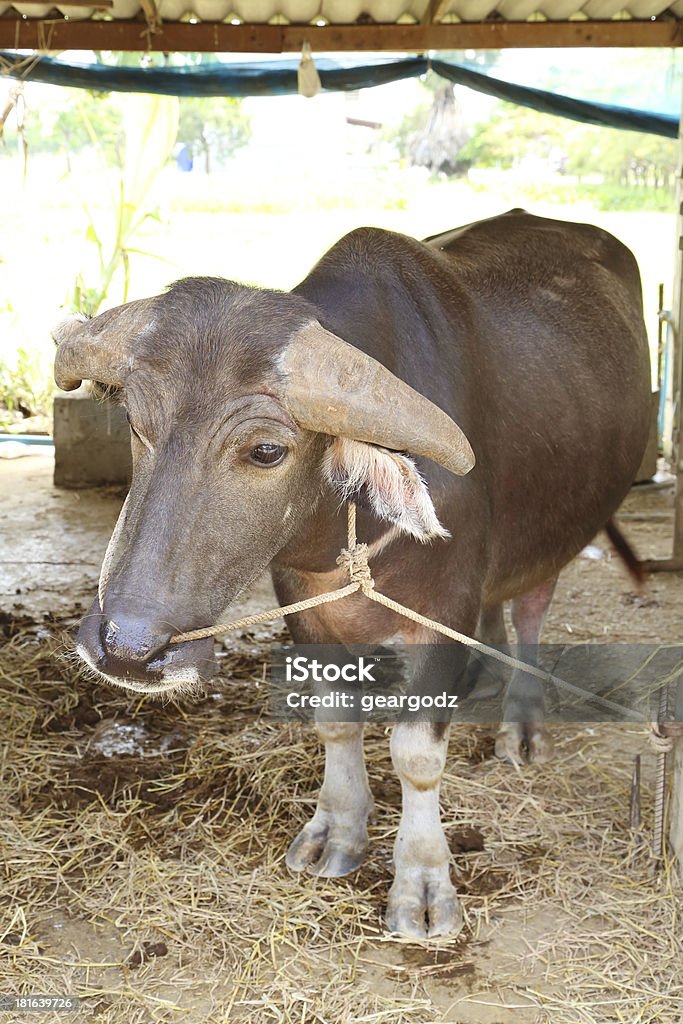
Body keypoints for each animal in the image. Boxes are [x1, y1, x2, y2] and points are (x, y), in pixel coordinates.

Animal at [54, 207, 651, 937]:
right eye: (136, 424)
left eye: (266, 450)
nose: (127, 649)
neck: (349, 523)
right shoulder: (303, 603)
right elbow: (335, 721)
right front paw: (336, 829)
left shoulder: (442, 614)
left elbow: (416, 755)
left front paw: (422, 882)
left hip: (559, 529)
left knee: (531, 606)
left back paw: (523, 725)